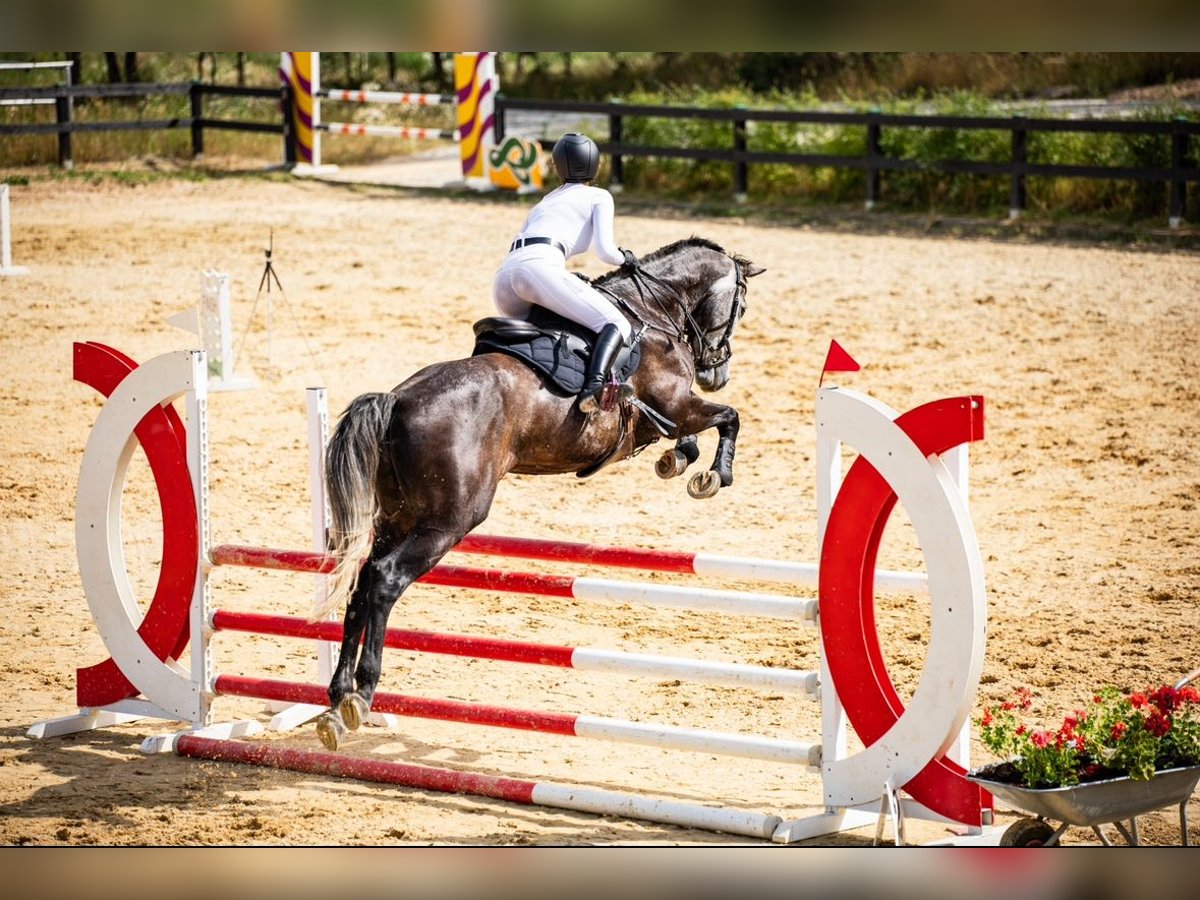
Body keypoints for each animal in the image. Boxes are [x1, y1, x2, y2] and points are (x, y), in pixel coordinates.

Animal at [314, 236, 763, 748]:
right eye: (741, 307)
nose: (716, 373)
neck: (653, 312)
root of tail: (397, 400)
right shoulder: (677, 404)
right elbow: (729, 417)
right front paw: (714, 475)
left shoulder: (663, 417)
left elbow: (690, 435)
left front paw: (679, 460)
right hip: (448, 521)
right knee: (386, 579)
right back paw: (363, 693)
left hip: (397, 517)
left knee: (360, 583)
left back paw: (336, 701)